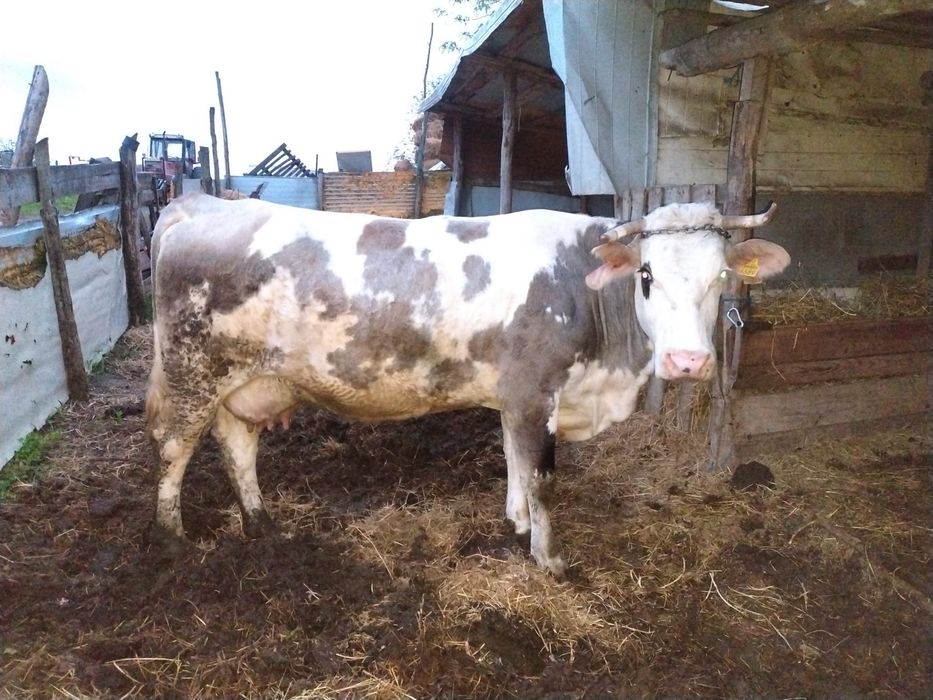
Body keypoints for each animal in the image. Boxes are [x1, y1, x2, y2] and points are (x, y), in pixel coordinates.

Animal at [146, 193, 790, 576]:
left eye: (722, 277)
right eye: (648, 275)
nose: (687, 361)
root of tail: (203, 204)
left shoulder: (514, 394)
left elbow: (514, 462)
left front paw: (517, 522)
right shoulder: (534, 390)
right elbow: (542, 476)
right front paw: (549, 559)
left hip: (247, 380)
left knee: (238, 445)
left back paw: (261, 521)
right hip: (191, 371)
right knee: (175, 449)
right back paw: (172, 538)